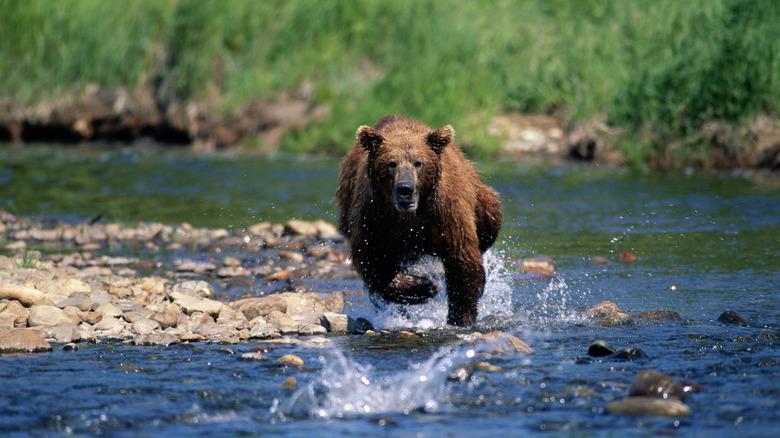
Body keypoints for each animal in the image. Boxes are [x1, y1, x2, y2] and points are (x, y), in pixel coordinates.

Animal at [336, 114, 500, 326]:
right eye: (391, 163)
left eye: (418, 162)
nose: (405, 189)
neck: (410, 216)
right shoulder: (374, 217)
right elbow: (372, 258)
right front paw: (423, 287)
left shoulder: (447, 214)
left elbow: (461, 260)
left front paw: (460, 317)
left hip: (480, 198)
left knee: (489, 221)